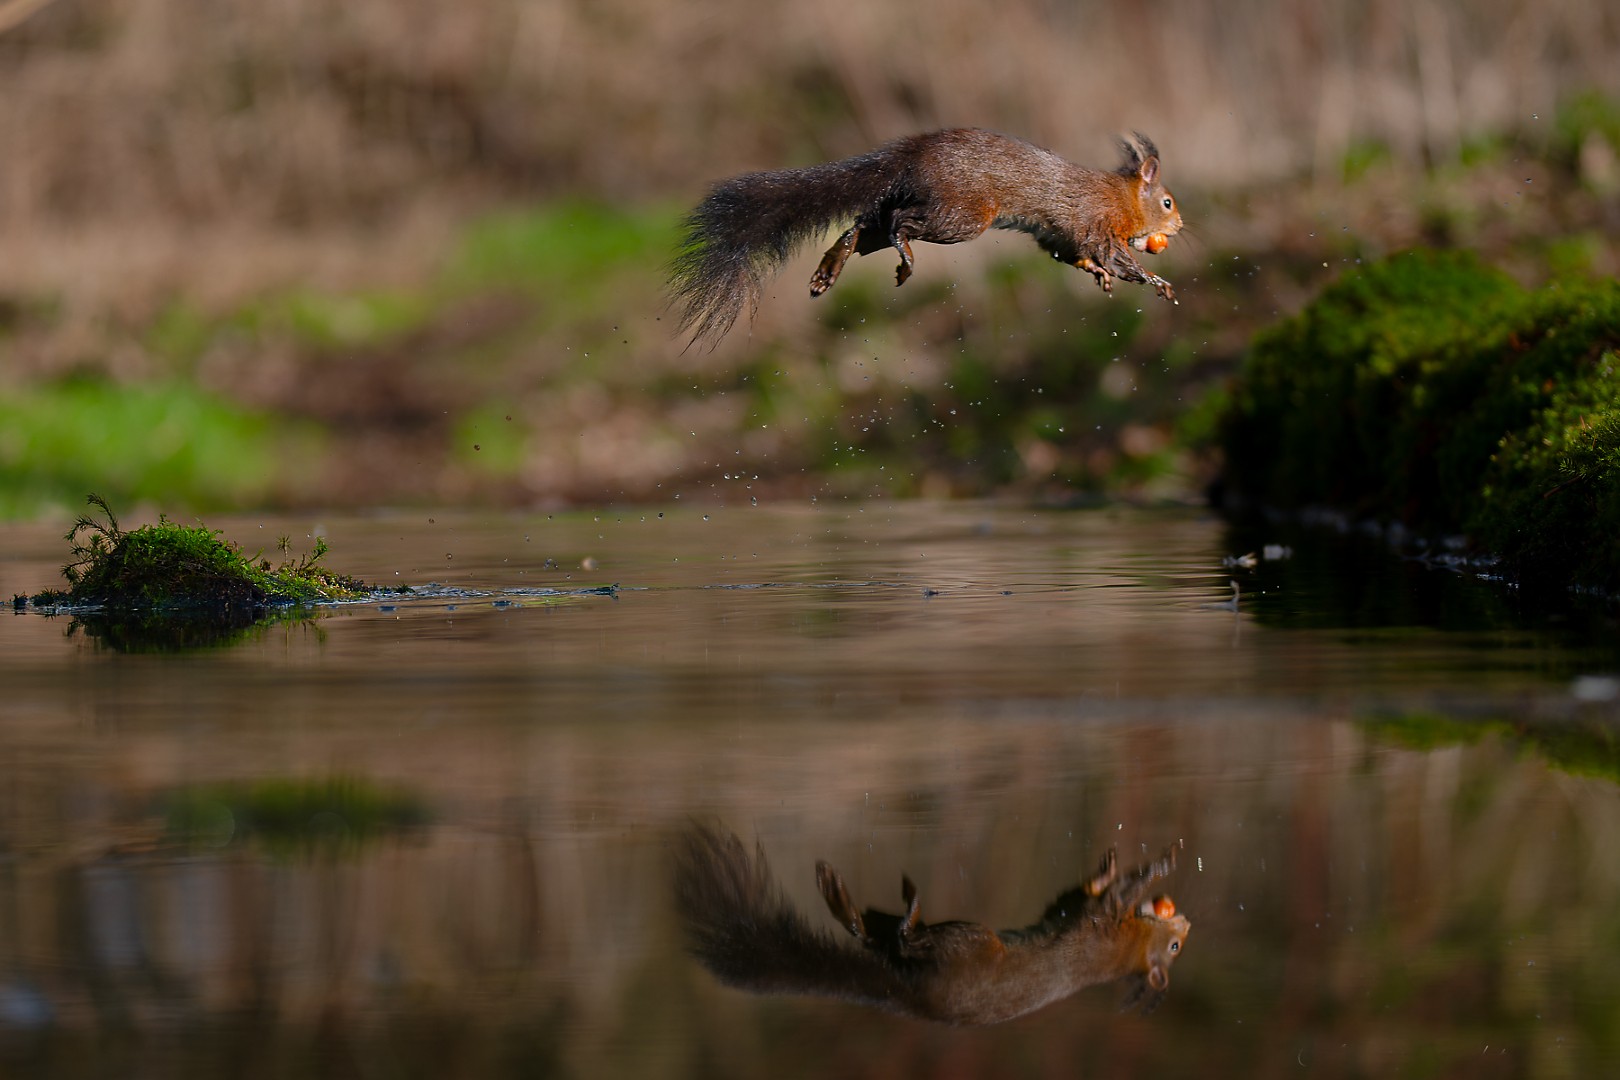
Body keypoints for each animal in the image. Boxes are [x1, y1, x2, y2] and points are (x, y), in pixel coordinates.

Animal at [669, 128, 1184, 347]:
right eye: (1167, 202)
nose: (1178, 228)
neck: (1121, 196)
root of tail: (913, 155)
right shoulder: (1095, 224)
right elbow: (1113, 256)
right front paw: (1154, 281)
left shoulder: (1059, 237)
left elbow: (1071, 254)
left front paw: (1098, 275)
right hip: (960, 216)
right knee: (896, 222)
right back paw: (905, 257)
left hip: (929, 205)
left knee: (864, 223)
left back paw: (830, 267)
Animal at [672, 823, 1190, 1025]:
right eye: (1176, 947)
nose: (1185, 923)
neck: (1126, 946)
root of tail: (913, 996)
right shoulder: (1087, 916)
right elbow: (1085, 893)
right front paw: (1121, 866)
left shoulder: (1097, 928)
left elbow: (1112, 897)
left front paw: (1157, 866)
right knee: (883, 938)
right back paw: (849, 895)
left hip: (969, 943)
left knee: (899, 941)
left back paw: (884, 899)